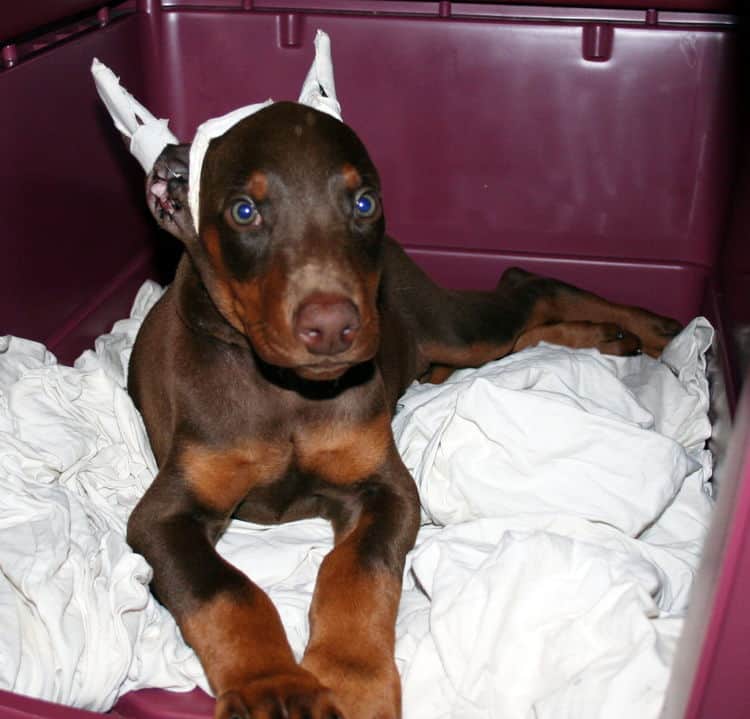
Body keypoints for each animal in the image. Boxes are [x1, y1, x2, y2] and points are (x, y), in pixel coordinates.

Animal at [128, 102, 680, 719]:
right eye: (244, 211)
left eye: (365, 203)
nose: (332, 327)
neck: (286, 395)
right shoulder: (165, 516)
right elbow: (226, 590)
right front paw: (273, 688)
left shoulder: (384, 488)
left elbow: (355, 572)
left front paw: (352, 682)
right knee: (521, 320)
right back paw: (609, 336)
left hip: (454, 329)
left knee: (526, 286)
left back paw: (646, 328)